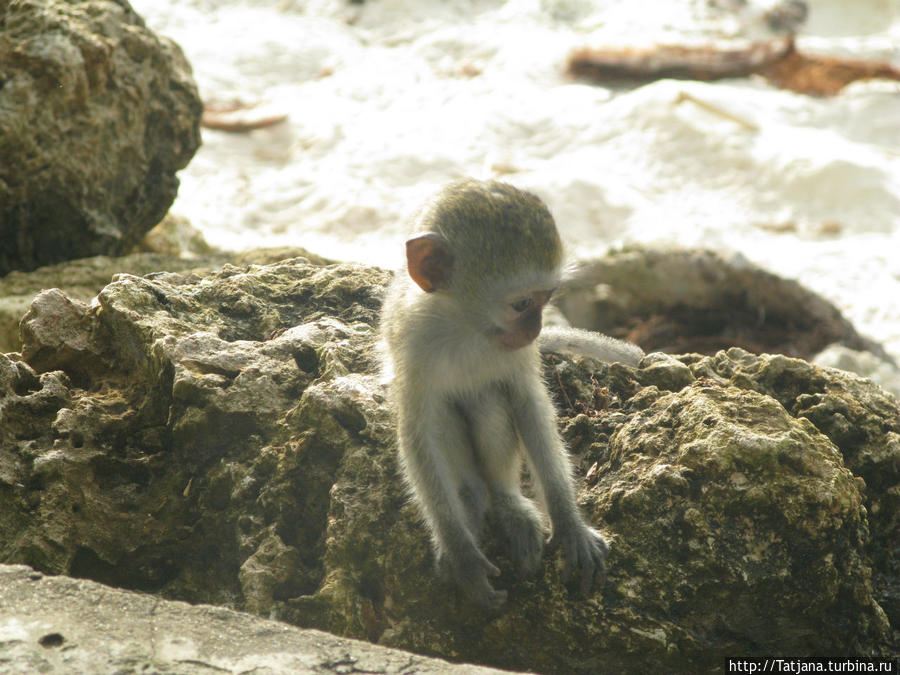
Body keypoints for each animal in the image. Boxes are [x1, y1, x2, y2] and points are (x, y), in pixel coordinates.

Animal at [384, 178, 644, 608]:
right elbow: (418, 432)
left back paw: (507, 503)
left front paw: (568, 523)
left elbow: (529, 406)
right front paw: (460, 551)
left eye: (546, 299)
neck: (467, 328)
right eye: (522, 304)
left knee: (488, 399)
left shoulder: (518, 354)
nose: (535, 330)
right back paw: (471, 500)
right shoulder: (413, 343)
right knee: (445, 414)